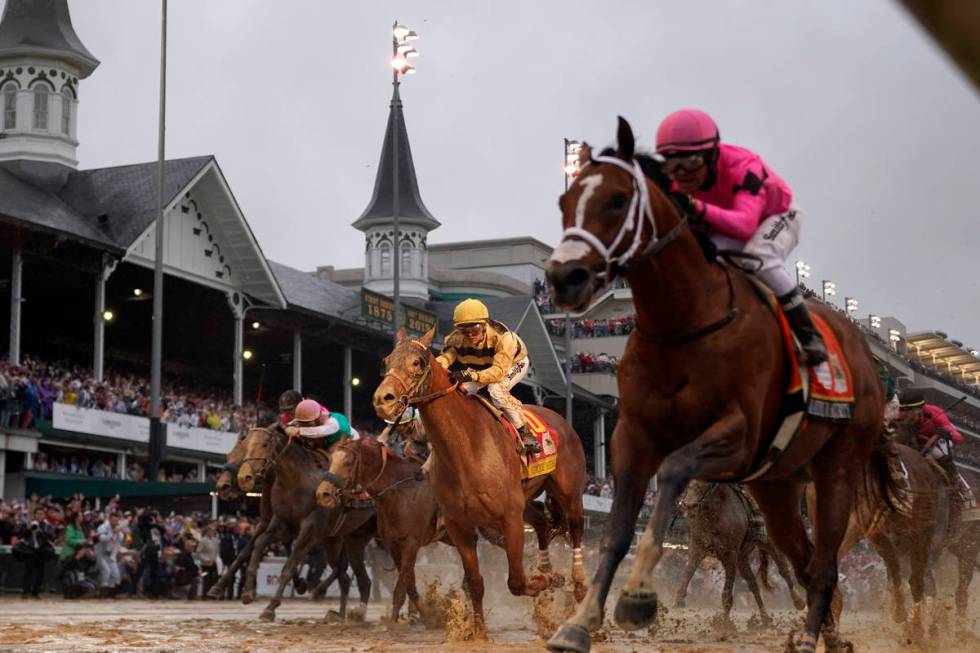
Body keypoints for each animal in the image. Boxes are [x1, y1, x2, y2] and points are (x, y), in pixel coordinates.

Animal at [235, 422, 378, 620]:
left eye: (264, 444)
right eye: (244, 443)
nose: (244, 478)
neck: (296, 481)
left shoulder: (309, 530)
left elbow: (289, 566)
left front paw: (270, 607)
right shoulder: (283, 525)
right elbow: (259, 544)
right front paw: (248, 593)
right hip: (342, 539)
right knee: (351, 577)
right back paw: (341, 613)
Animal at [372, 326, 584, 636]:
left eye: (417, 363)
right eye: (386, 361)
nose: (382, 399)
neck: (467, 448)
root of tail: (561, 420)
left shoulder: (509, 517)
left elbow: (517, 581)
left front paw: (546, 581)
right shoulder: (459, 524)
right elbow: (475, 582)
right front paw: (479, 632)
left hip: (568, 493)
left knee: (576, 528)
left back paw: (578, 584)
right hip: (526, 500)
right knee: (543, 524)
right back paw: (547, 570)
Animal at [672, 478, 804, 620]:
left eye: (708, 483)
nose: (688, 504)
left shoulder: (730, 555)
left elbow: (727, 594)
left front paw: (724, 622)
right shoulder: (697, 547)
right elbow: (688, 571)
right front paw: (679, 600)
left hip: (769, 544)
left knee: (783, 569)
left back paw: (799, 602)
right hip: (742, 558)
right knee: (753, 584)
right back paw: (765, 618)